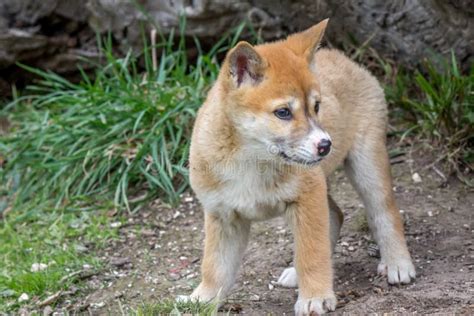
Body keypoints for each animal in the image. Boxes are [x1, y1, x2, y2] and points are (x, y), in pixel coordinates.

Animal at [185, 19, 414, 314]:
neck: (252, 162)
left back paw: (398, 263)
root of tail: (343, 58)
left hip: (367, 167)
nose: (325, 145)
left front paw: (315, 296)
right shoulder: (223, 217)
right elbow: (214, 266)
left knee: (384, 213)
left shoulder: (307, 199)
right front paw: (203, 299)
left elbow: (311, 254)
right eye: (283, 112)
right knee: (336, 215)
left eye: (316, 106)